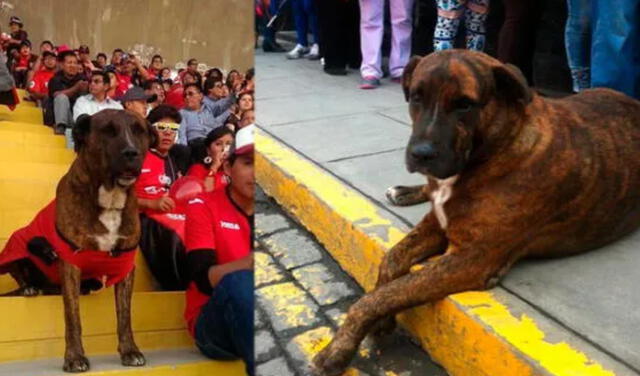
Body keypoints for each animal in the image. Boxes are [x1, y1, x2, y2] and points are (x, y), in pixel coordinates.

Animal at [0, 109, 154, 374]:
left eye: (139, 131)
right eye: (107, 130)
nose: (131, 153)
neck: (110, 198)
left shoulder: (125, 265)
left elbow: (125, 315)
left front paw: (130, 351)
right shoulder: (70, 263)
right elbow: (72, 317)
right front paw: (74, 357)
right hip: (15, 245)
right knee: (22, 276)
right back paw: (29, 288)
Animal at [312, 50, 640, 376]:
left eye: (464, 104)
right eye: (416, 97)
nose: (421, 154)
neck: (495, 149)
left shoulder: (470, 259)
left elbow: (382, 295)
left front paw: (339, 348)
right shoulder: (436, 225)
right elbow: (390, 261)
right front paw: (379, 322)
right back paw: (405, 191)